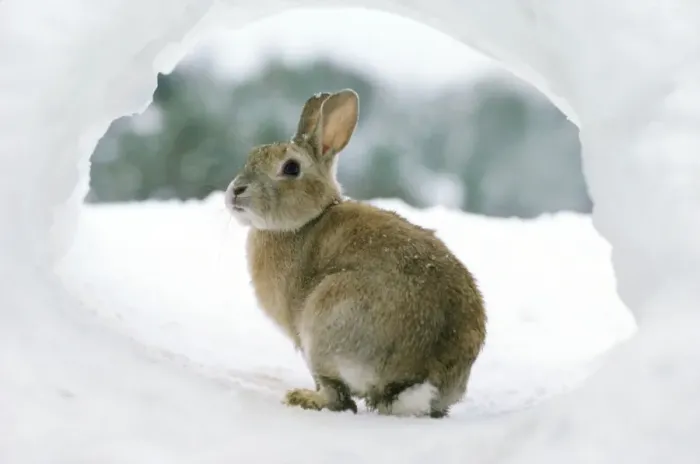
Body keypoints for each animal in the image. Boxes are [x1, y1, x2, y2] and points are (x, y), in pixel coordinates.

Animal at [224, 89, 487, 418]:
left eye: (291, 168)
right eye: (251, 155)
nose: (236, 191)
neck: (306, 221)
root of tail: (420, 376)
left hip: (325, 324)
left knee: (339, 398)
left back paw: (303, 398)